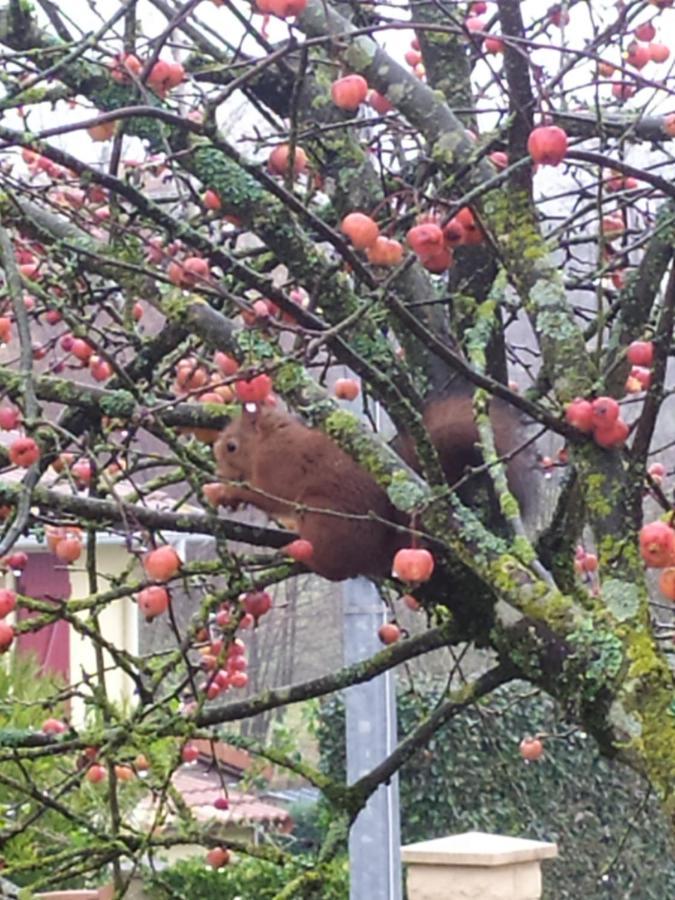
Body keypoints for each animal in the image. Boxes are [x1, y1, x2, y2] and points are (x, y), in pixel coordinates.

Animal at [217, 398, 532, 580]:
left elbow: (265, 495)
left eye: (231, 446)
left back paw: (297, 553)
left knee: (333, 570)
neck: (267, 441)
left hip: (324, 518)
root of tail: (379, 550)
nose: (220, 471)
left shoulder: (277, 469)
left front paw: (229, 492)